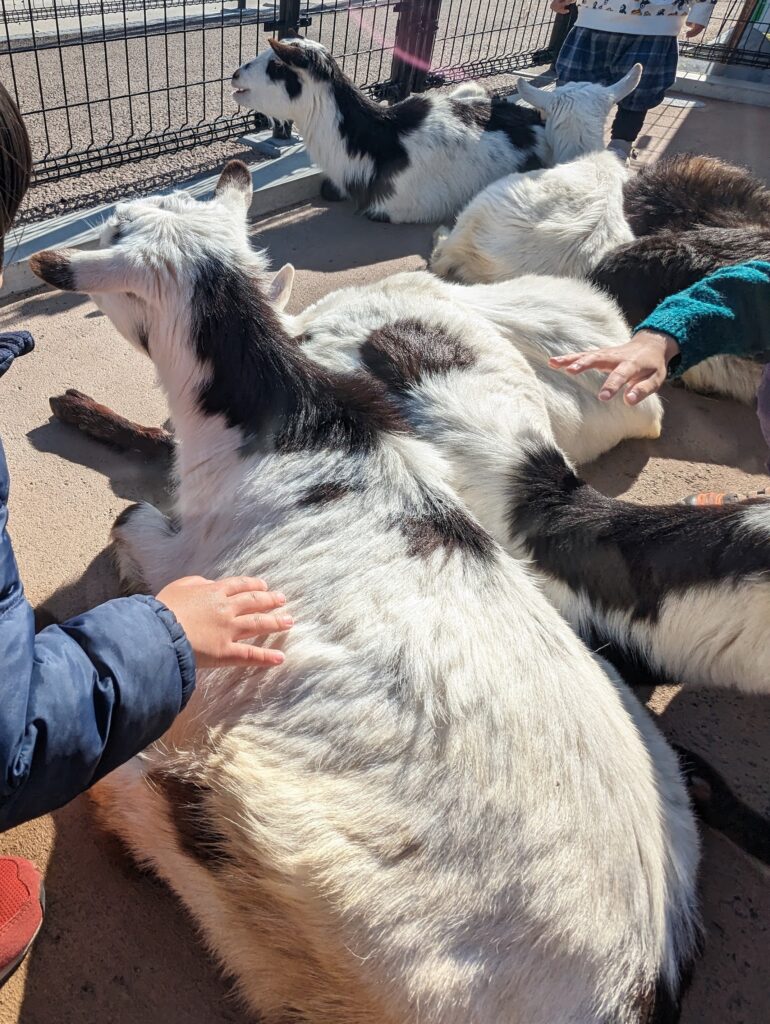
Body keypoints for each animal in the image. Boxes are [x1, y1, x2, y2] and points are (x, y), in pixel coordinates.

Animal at [33, 157, 700, 1024]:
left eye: (115, 229)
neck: (291, 424)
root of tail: (626, 991)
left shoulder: (189, 557)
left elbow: (129, 520)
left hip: (272, 847)